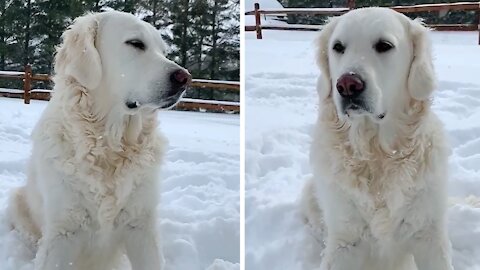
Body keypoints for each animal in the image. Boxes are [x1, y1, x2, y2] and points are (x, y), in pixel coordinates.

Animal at [7, 10, 191, 270]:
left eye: (163, 51)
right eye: (136, 43)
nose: (185, 78)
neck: (109, 144)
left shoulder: (141, 225)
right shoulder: (63, 230)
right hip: (18, 201)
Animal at [304, 6, 454, 270]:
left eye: (384, 45)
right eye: (338, 47)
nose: (347, 84)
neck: (375, 152)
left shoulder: (429, 234)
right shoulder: (344, 240)